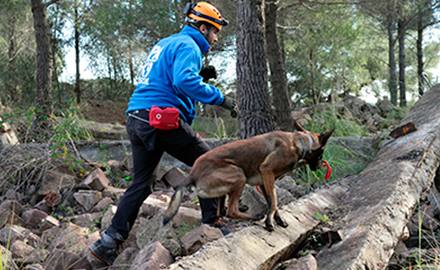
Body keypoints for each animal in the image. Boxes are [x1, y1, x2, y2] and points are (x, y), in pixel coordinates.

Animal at [163, 123, 336, 231]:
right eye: (322, 153)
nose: (320, 166)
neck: (298, 142)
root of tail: (193, 173)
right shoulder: (267, 171)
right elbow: (274, 203)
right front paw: (269, 222)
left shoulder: (265, 182)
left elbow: (272, 202)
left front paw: (278, 220)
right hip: (239, 175)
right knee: (230, 211)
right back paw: (255, 216)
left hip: (226, 188)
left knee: (221, 211)